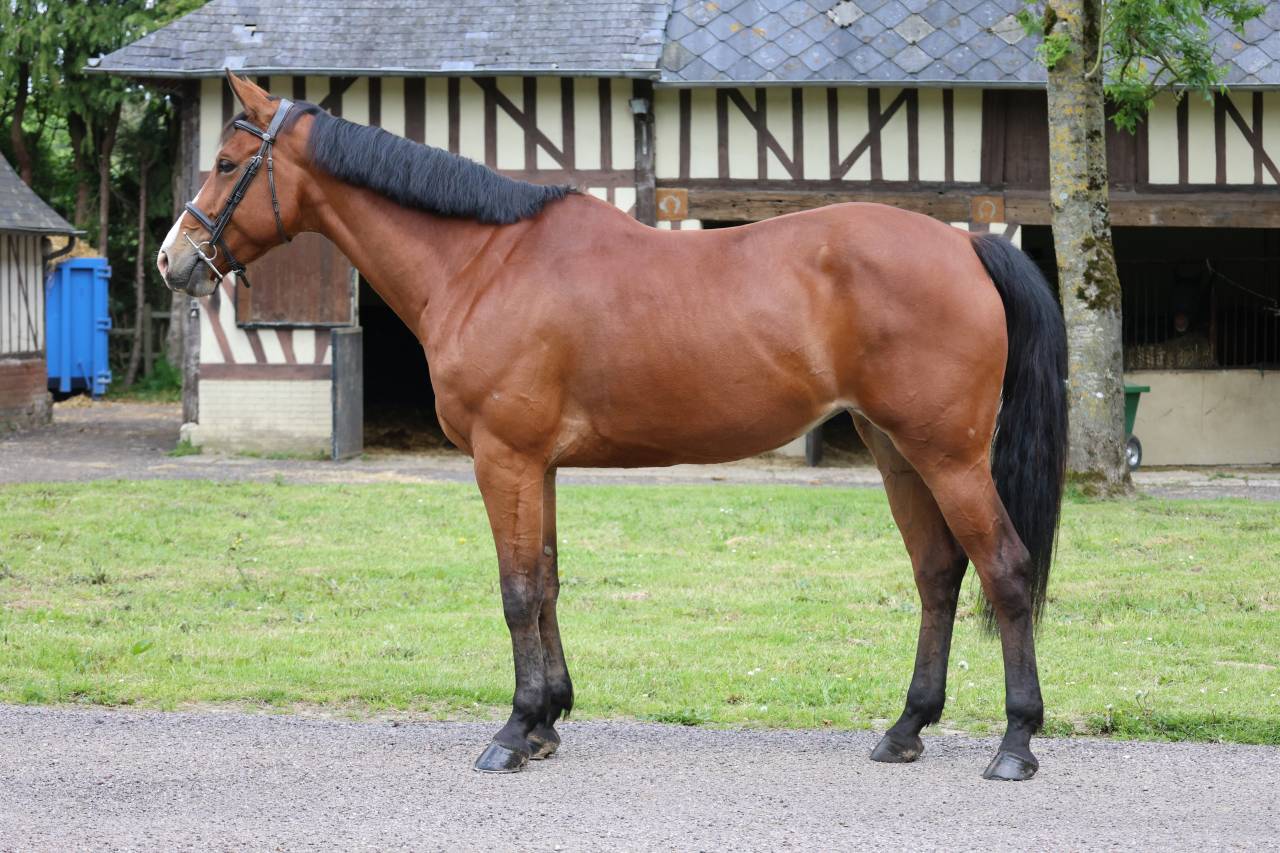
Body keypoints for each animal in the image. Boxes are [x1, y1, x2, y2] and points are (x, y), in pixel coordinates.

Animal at [158, 71, 1068, 781]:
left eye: (228, 163)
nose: (173, 260)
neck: (483, 263)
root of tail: (967, 246)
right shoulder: (540, 465)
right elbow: (549, 581)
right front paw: (548, 719)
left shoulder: (504, 458)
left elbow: (518, 590)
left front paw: (513, 730)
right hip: (896, 451)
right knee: (938, 575)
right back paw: (905, 728)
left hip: (948, 455)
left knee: (1006, 570)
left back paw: (1016, 741)